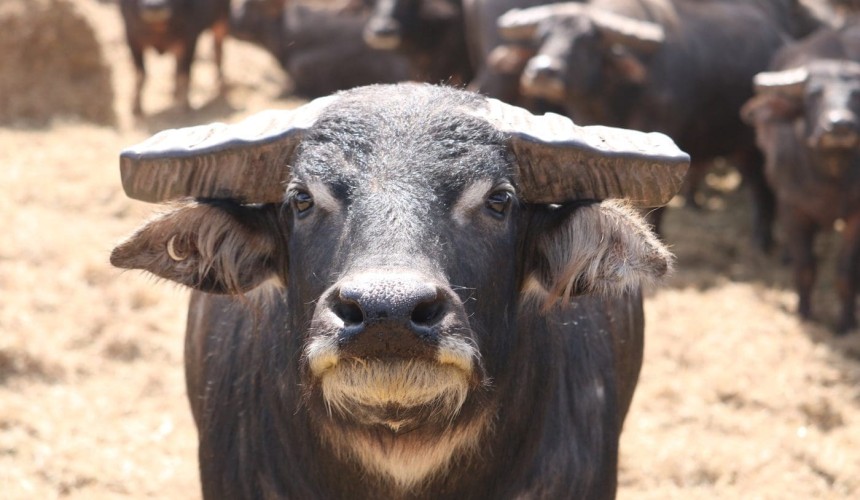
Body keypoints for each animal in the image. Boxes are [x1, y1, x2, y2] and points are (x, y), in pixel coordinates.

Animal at [497, 0, 829, 243]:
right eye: (541, 37)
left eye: (587, 42)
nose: (542, 71)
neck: (615, 100)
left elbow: (653, 209)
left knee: (761, 187)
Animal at [742, 22, 860, 333]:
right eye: (813, 94)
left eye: (857, 95)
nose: (840, 125)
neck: (830, 175)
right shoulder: (791, 207)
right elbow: (805, 266)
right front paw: (805, 312)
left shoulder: (856, 215)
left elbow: (846, 272)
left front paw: (846, 322)